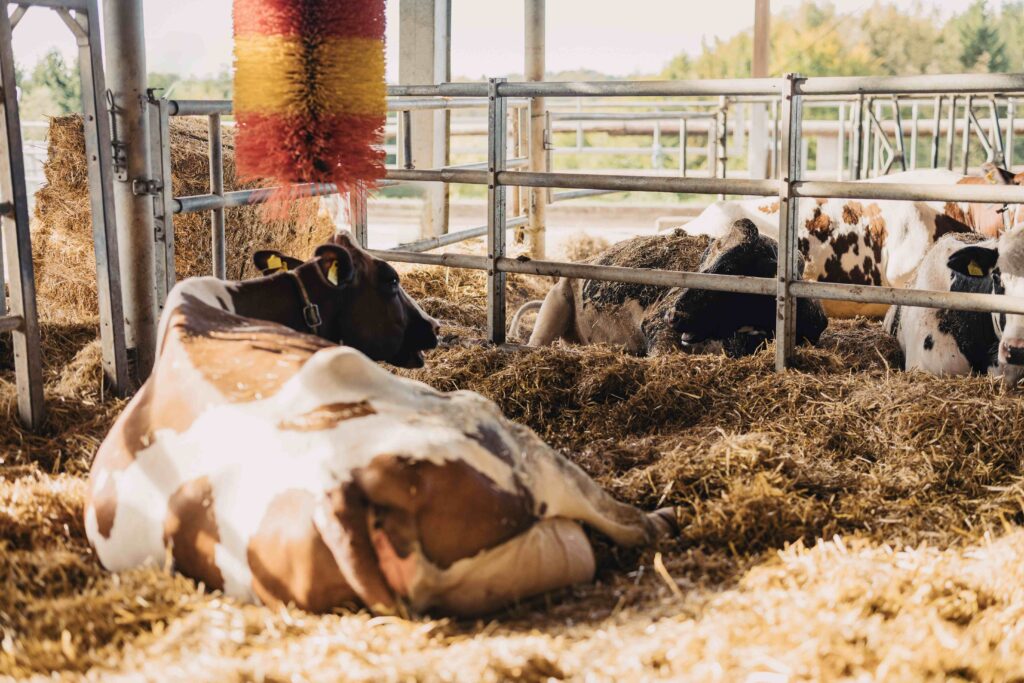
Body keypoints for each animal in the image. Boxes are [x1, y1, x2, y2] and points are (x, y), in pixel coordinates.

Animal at [85, 234, 676, 617]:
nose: (433, 327)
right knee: (623, 518)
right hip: (503, 433)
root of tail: (343, 489)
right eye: (390, 281)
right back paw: (663, 517)